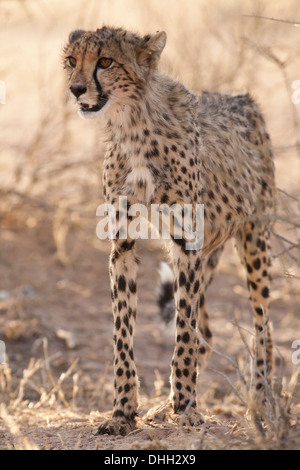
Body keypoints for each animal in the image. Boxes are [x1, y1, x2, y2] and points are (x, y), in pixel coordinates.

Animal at [63, 26, 276, 436]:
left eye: (106, 61)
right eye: (71, 60)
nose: (76, 89)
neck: (131, 125)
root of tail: (243, 97)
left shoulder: (186, 244)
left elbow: (184, 336)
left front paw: (187, 409)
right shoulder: (123, 247)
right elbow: (123, 334)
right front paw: (123, 413)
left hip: (254, 241)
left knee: (263, 330)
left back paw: (261, 406)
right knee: (207, 333)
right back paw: (165, 405)